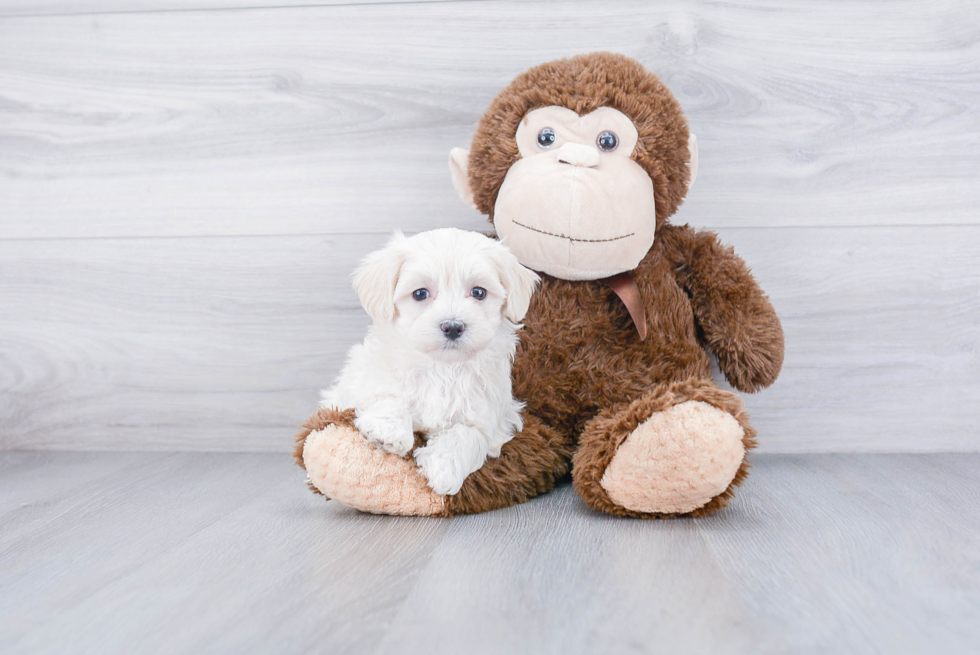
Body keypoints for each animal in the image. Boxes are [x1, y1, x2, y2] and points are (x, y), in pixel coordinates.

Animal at [320, 228, 540, 494]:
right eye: (420, 293)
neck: (442, 367)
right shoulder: (360, 380)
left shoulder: (491, 418)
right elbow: (386, 395)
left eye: (478, 292)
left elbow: (467, 434)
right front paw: (389, 431)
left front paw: (444, 467)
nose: (453, 326)